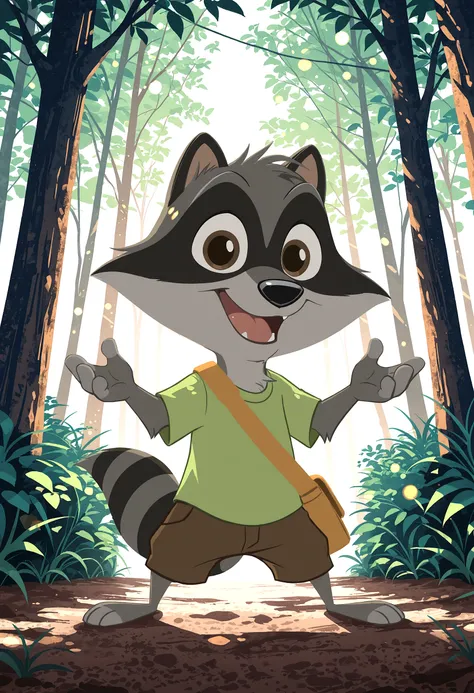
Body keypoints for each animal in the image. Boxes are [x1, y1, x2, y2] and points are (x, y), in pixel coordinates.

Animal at [66, 133, 424, 627]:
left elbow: (316, 419)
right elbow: (161, 413)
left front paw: (370, 382)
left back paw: (345, 607)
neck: (247, 377)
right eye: (222, 249)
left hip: (296, 531)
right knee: (167, 562)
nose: (282, 291)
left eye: (298, 257)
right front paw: (114, 381)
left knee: (312, 563)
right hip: (190, 531)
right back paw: (141, 606)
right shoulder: (195, 391)